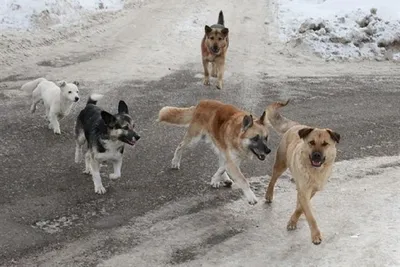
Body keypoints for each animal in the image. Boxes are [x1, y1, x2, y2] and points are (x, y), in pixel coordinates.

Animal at [264, 100, 340, 245]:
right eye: (311, 142)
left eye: (325, 144)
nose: (316, 155)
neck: (314, 171)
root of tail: (296, 126)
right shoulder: (304, 190)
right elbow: (310, 215)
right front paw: (315, 235)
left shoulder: (313, 190)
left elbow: (300, 208)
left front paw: (294, 219)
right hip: (281, 164)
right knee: (273, 179)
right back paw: (269, 195)